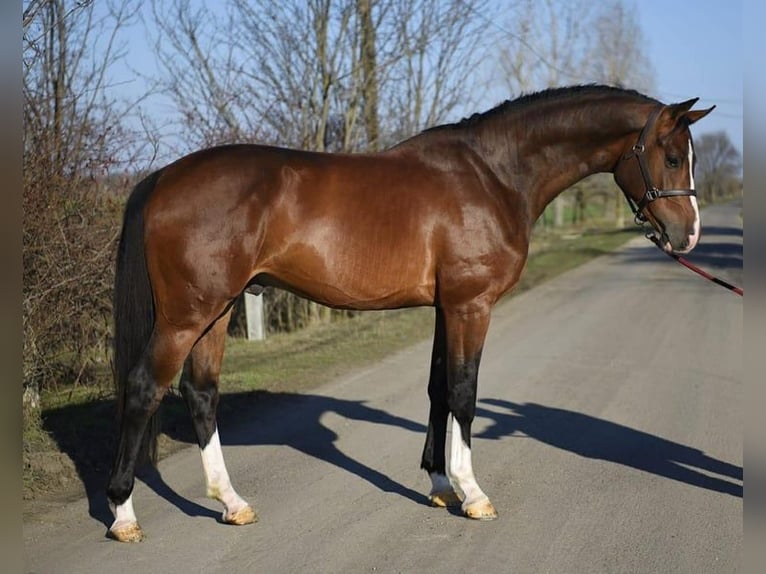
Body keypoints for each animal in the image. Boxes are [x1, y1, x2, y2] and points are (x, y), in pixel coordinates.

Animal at [106, 85, 714, 542]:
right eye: (671, 156)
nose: (687, 236)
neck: (494, 173)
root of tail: (162, 178)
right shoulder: (471, 306)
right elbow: (466, 392)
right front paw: (473, 494)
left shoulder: (447, 308)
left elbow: (439, 389)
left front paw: (440, 486)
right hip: (188, 315)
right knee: (143, 389)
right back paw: (123, 515)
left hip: (218, 311)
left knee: (201, 393)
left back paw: (231, 503)